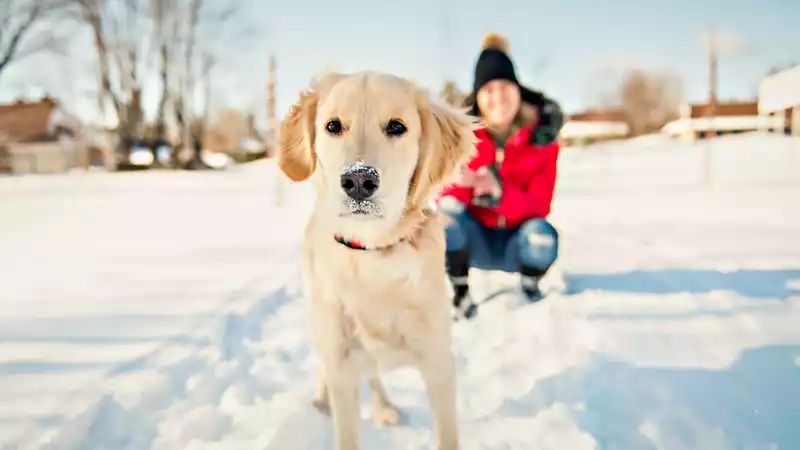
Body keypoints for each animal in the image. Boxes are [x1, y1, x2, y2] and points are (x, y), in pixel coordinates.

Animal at [276, 72, 476, 448]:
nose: (358, 180)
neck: (373, 255)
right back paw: (322, 401)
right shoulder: (342, 364)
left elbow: (447, 436)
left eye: (397, 126)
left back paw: (384, 409)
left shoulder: (439, 363)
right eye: (333, 126)